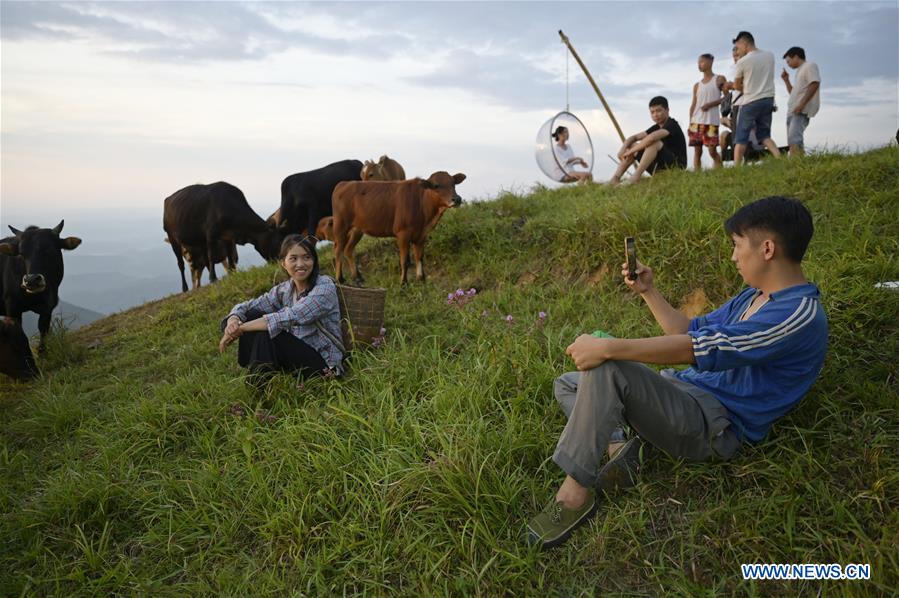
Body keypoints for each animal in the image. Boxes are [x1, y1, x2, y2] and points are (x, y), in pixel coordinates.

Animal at [0, 220, 81, 352]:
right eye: (21, 254)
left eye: (49, 250)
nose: (31, 280)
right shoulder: (12, 306)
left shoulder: (49, 306)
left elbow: (43, 332)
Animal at [332, 171, 472, 286]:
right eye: (437, 185)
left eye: (453, 183)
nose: (457, 199)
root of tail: (343, 184)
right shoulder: (403, 233)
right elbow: (404, 260)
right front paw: (403, 283)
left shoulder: (422, 235)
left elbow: (419, 257)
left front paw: (421, 279)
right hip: (341, 225)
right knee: (338, 251)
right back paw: (340, 279)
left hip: (357, 229)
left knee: (348, 250)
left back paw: (357, 277)